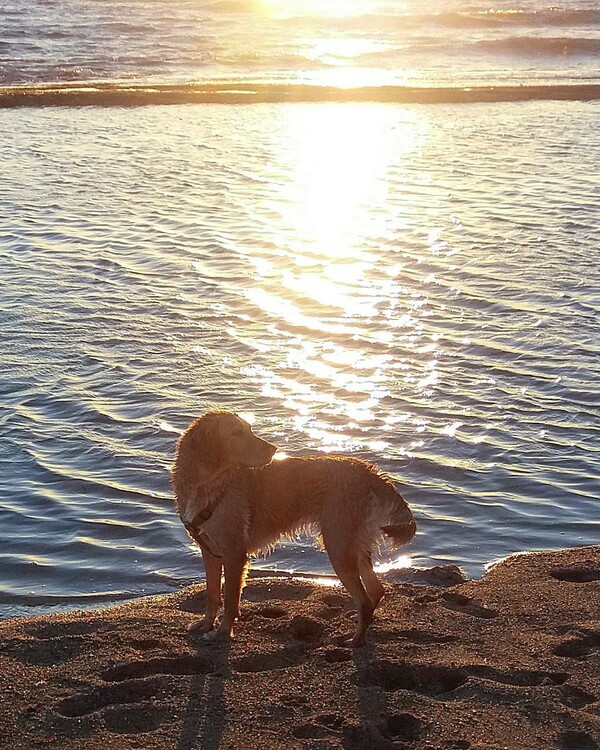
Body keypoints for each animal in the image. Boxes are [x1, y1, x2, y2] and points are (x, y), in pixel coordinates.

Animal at [172, 412, 418, 648]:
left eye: (249, 430)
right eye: (236, 433)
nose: (273, 449)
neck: (208, 483)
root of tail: (369, 472)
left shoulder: (235, 554)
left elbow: (231, 599)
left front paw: (222, 633)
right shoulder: (210, 551)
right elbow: (213, 593)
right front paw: (206, 624)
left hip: (338, 546)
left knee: (364, 600)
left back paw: (355, 642)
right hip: (354, 543)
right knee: (376, 590)